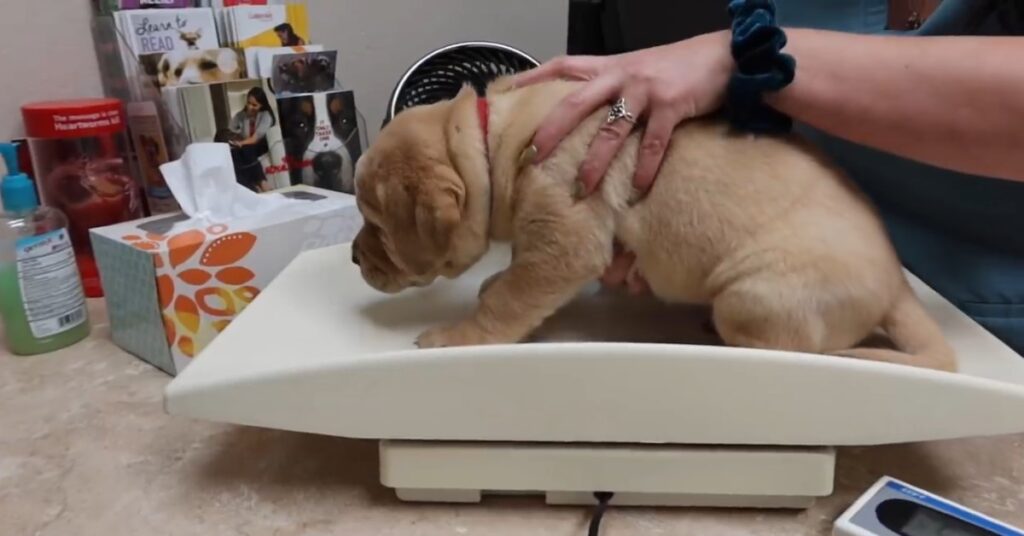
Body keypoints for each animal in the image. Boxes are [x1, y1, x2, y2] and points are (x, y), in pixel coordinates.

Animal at [354, 79, 958, 370]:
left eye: (375, 223)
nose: (356, 256)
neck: (492, 141)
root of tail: (898, 284)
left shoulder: (565, 238)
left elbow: (508, 302)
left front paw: (455, 338)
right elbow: (513, 277)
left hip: (752, 296)